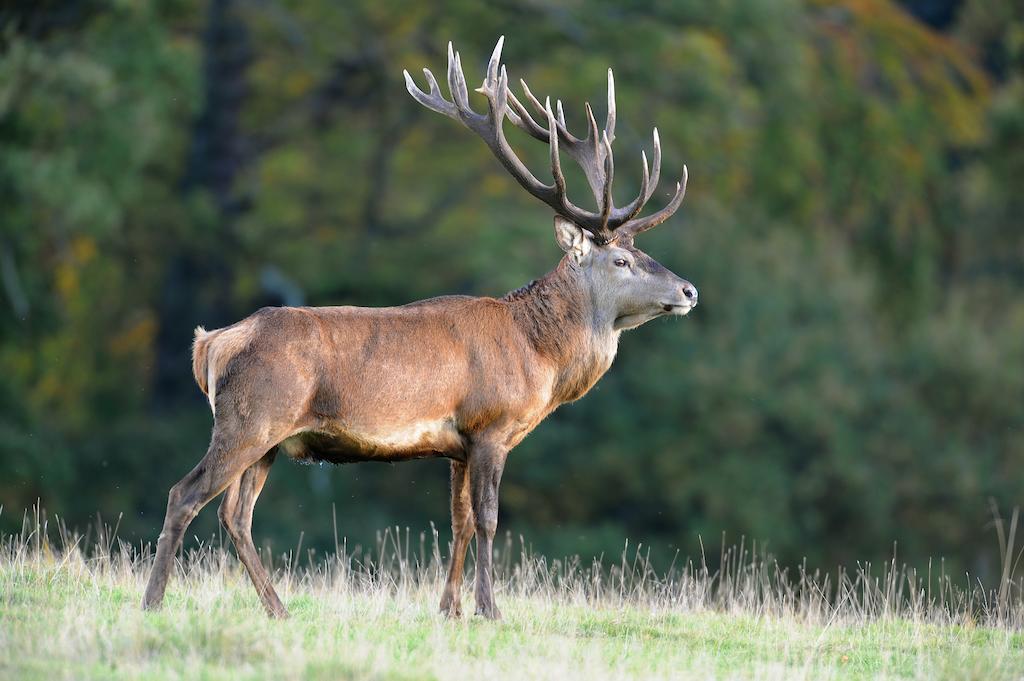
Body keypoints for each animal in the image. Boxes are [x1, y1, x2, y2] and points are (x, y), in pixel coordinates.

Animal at [144, 38, 696, 622]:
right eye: (621, 260)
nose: (689, 291)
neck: (538, 357)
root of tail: (211, 343)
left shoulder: (457, 443)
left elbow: (459, 521)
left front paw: (449, 609)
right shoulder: (491, 425)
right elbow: (489, 519)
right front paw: (489, 610)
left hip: (271, 436)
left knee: (235, 514)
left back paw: (279, 609)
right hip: (250, 417)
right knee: (184, 494)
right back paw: (153, 602)